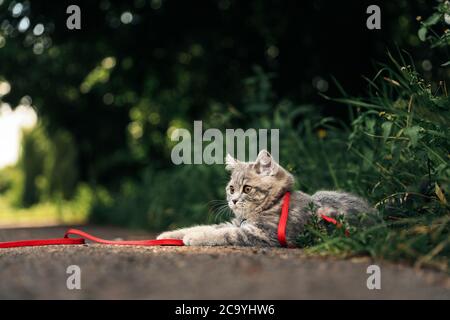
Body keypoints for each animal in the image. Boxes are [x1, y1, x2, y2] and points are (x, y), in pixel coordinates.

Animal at [156, 149, 374, 246]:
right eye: (231, 188)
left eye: (247, 189)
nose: (233, 200)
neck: (274, 204)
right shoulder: (236, 224)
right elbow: (208, 227)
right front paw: (169, 235)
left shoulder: (261, 234)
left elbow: (220, 234)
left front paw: (193, 237)